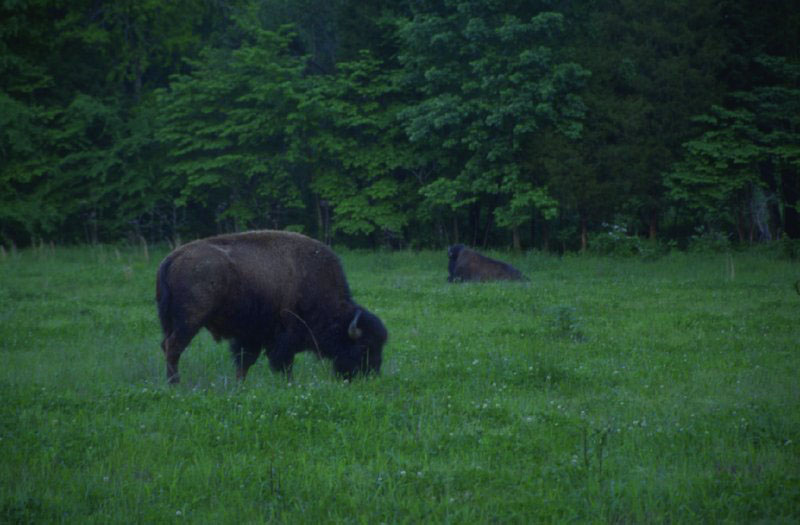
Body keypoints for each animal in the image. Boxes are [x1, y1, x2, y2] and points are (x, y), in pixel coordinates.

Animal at [155, 231, 388, 382]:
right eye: (364, 347)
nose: (372, 374)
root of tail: (172, 257)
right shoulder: (285, 337)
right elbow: (283, 363)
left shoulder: (252, 335)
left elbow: (245, 361)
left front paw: (240, 385)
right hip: (190, 321)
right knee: (174, 347)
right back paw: (175, 382)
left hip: (171, 323)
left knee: (166, 345)